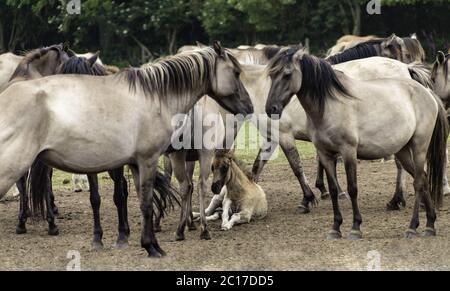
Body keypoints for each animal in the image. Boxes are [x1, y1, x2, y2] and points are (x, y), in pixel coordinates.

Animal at [0, 42, 253, 258]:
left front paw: (142, 241)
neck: (155, 98)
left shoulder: (132, 164)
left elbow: (138, 200)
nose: (249, 107)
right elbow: (145, 202)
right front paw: (151, 246)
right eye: (236, 73)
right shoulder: (146, 160)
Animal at [266, 47, 448, 240]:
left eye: (287, 74)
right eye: (271, 74)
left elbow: (352, 188)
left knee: (419, 182)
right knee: (423, 178)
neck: (329, 105)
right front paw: (335, 228)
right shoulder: (325, 153)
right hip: (403, 151)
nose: (271, 108)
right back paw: (430, 224)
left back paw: (413, 227)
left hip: (419, 147)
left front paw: (355, 227)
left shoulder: (348, 152)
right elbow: (333, 189)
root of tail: (428, 93)